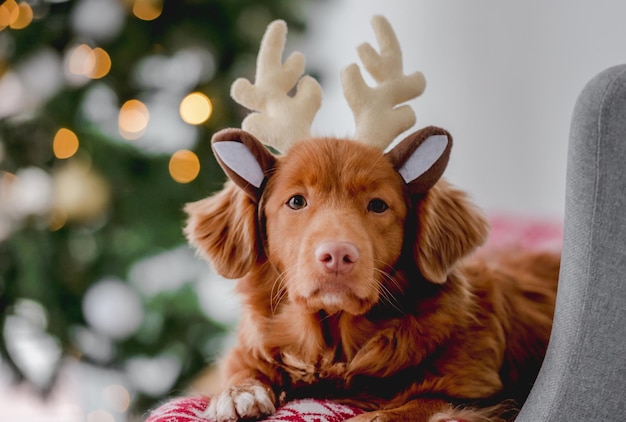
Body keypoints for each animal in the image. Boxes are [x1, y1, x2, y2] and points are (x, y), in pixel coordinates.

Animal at [183, 126, 560, 422]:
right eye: (296, 201)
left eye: (378, 205)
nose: (337, 255)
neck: (337, 349)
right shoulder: (250, 349)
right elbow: (242, 367)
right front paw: (238, 393)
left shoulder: (481, 394)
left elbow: (418, 404)